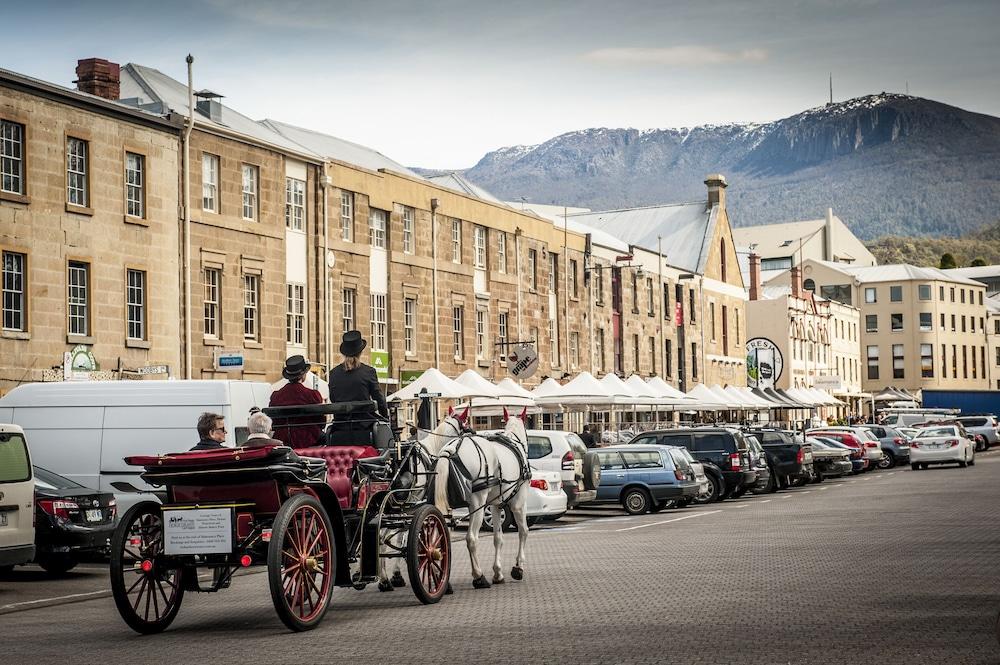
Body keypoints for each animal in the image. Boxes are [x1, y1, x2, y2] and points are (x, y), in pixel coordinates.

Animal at [434, 404, 536, 588]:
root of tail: (451, 449)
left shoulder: (496, 505)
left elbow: (498, 538)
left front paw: (498, 572)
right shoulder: (518, 503)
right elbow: (523, 531)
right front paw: (518, 567)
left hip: (447, 505)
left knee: (441, 536)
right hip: (477, 505)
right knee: (471, 539)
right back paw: (478, 576)